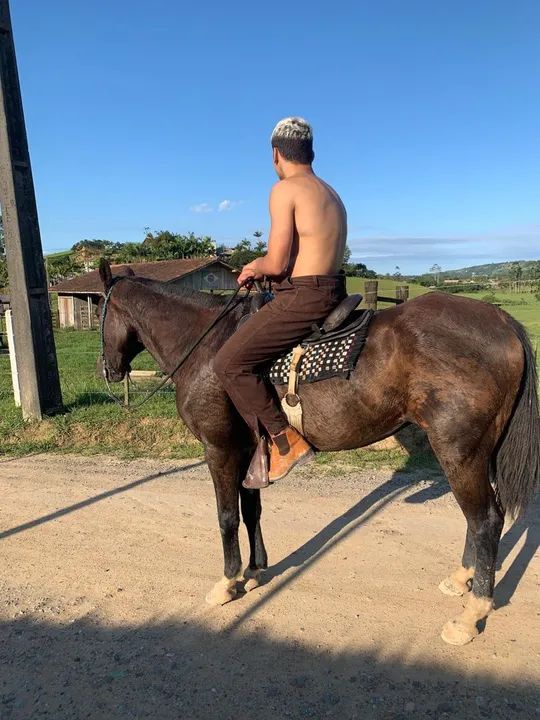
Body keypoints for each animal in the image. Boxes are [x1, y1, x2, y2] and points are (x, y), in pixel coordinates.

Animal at [97, 259, 539, 646]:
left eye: (99, 310)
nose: (107, 370)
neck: (206, 346)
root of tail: (503, 322)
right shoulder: (250, 451)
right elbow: (251, 511)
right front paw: (255, 571)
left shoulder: (219, 448)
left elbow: (226, 517)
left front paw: (228, 582)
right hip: (480, 452)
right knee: (482, 517)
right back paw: (462, 579)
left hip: (459, 452)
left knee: (485, 519)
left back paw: (471, 614)